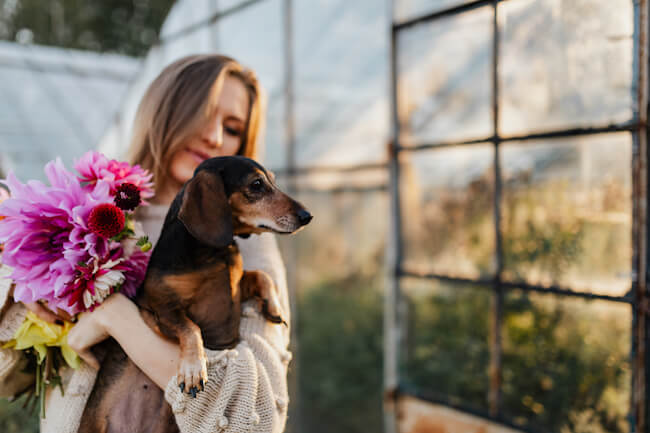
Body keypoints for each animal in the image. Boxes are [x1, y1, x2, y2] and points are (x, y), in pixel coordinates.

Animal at [78, 155, 312, 432]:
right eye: (257, 184)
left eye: (273, 181)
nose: (307, 216)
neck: (210, 253)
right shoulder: (159, 309)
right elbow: (191, 327)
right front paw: (193, 368)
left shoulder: (236, 286)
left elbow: (260, 275)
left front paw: (274, 307)